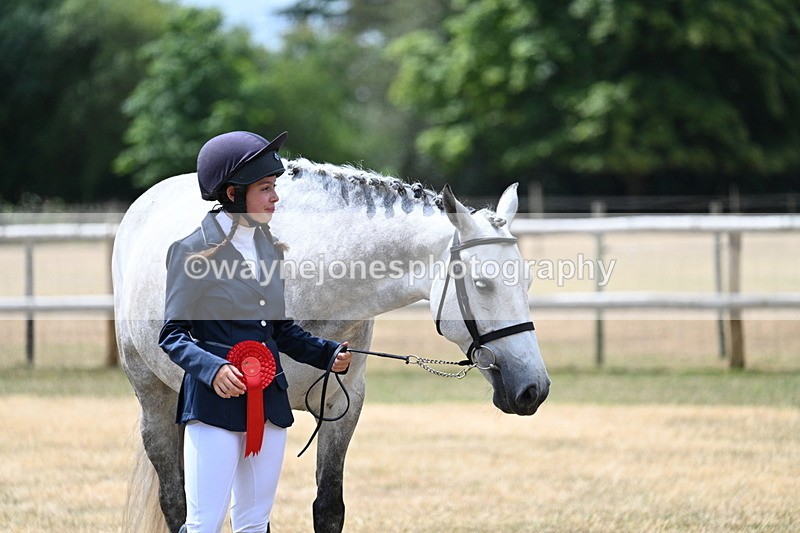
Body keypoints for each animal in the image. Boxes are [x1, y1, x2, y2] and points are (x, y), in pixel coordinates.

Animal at [112, 158, 551, 532]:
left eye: (527, 280)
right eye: (483, 283)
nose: (534, 389)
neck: (314, 276)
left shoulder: (343, 405)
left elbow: (327, 507)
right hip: (154, 400)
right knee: (176, 502)